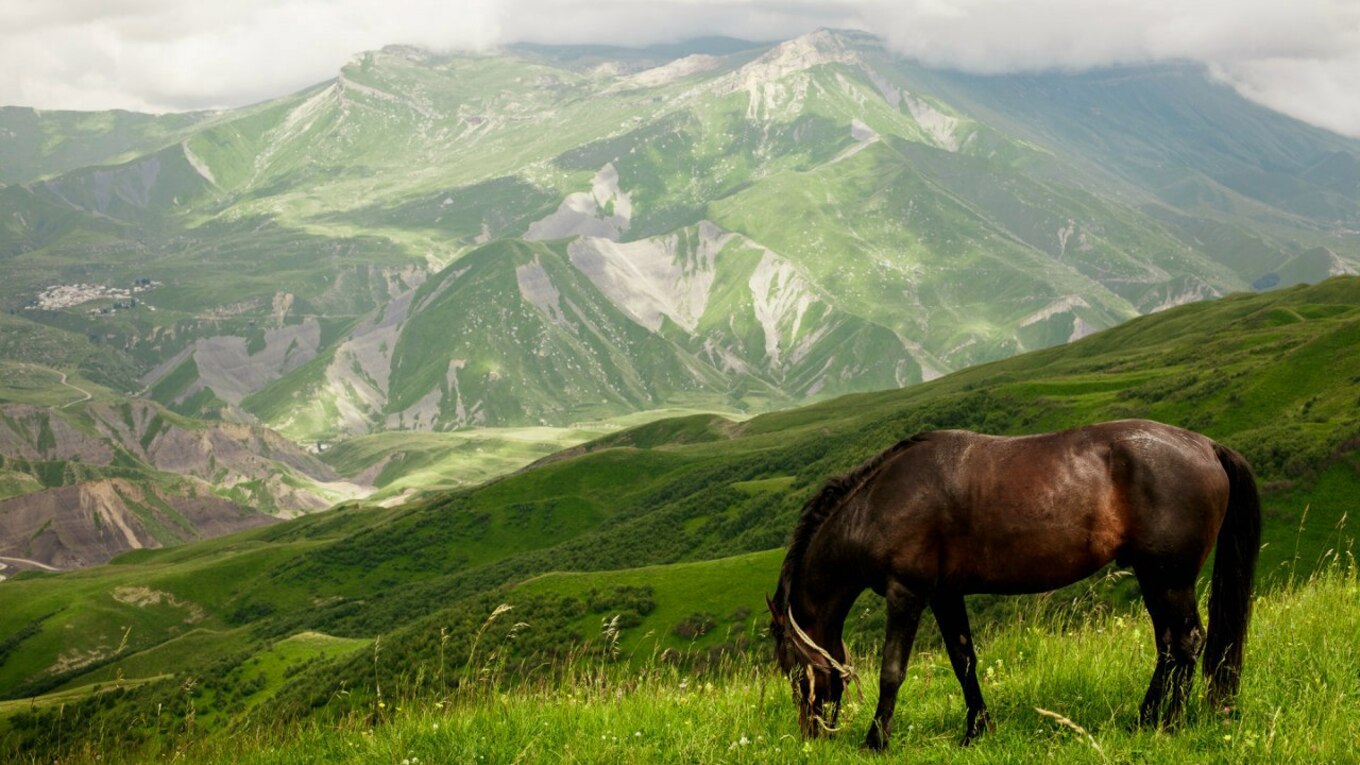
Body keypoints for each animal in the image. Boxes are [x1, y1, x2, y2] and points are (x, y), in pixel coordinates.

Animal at [772, 413, 1256, 745]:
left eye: (793, 670)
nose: (812, 734)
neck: (879, 503)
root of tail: (1207, 446)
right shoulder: (946, 594)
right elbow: (963, 661)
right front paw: (976, 730)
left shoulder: (906, 592)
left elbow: (893, 670)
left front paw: (876, 741)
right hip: (1153, 577)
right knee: (1170, 645)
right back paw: (1145, 719)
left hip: (1170, 578)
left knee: (1188, 642)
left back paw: (1169, 724)